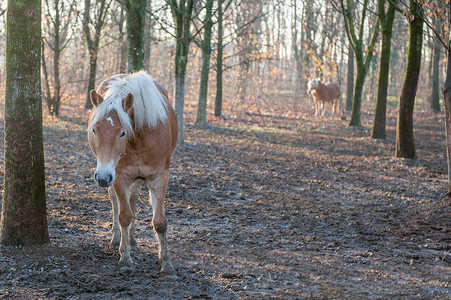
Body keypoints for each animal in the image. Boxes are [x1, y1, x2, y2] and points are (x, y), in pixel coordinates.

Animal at [86, 71, 178, 276]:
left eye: (122, 132)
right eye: (94, 130)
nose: (102, 177)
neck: (139, 138)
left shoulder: (159, 178)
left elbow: (160, 222)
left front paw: (167, 264)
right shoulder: (119, 177)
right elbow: (124, 216)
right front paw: (125, 259)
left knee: (134, 200)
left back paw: (133, 240)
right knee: (116, 204)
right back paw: (117, 239)